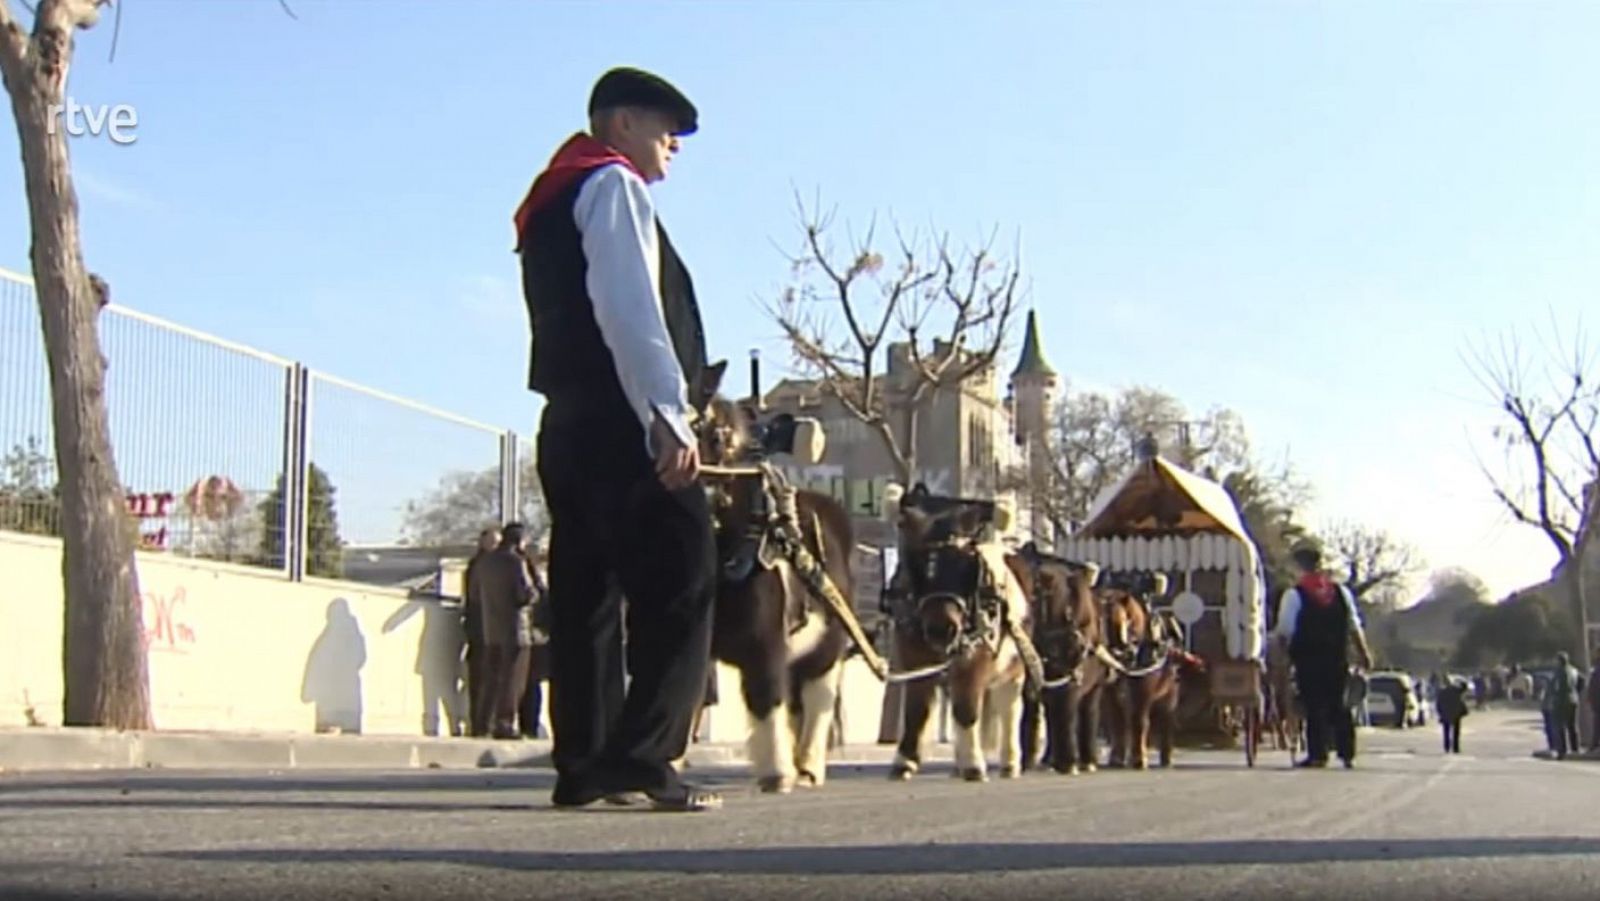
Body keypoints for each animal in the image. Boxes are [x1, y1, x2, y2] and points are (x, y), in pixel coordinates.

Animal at [694, 384, 857, 793]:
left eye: (717, 437)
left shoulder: (765, 648)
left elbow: (766, 700)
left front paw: (776, 774)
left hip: (826, 648)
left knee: (817, 699)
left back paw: (808, 767)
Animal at [1004, 544, 1107, 774]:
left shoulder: (1072, 677)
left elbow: (1066, 711)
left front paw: (1068, 762)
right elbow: (1031, 713)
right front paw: (1026, 761)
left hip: (1093, 685)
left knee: (1086, 711)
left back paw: (1085, 760)